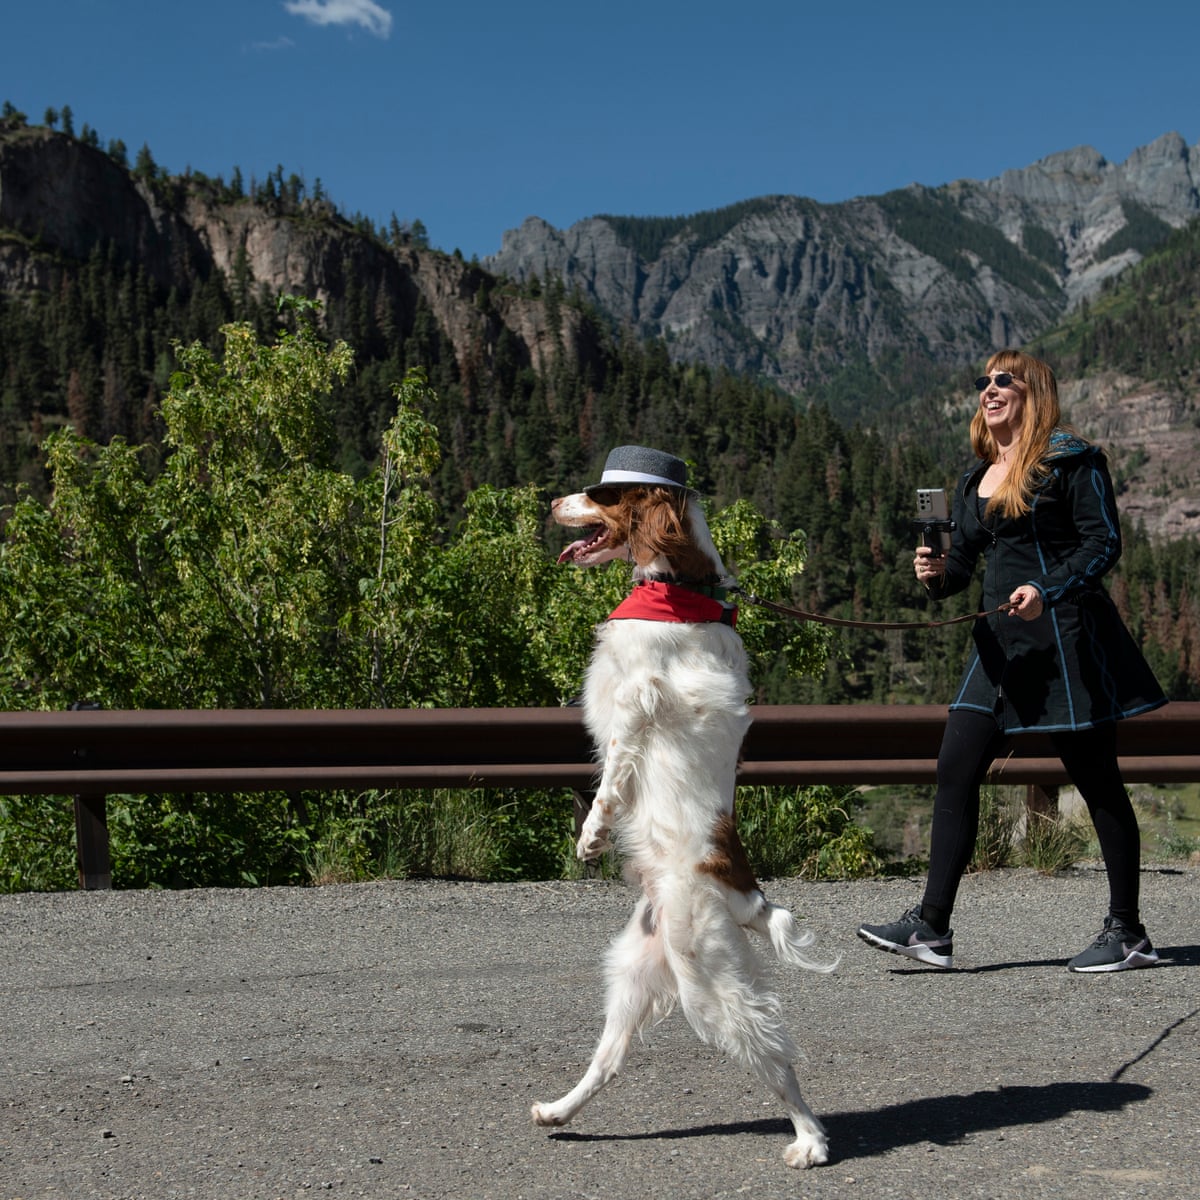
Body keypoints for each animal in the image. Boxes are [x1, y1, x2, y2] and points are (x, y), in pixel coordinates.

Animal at [535, 446, 835, 1166]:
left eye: (600, 495)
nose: (548, 502)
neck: (682, 588)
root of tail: (748, 895)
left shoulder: (636, 698)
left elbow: (610, 778)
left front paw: (590, 837)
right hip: (637, 972)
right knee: (608, 1060)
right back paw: (559, 1110)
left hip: (708, 982)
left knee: (776, 1058)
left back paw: (811, 1140)